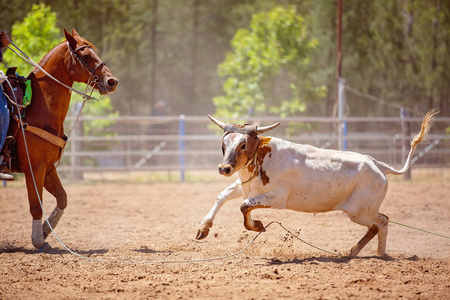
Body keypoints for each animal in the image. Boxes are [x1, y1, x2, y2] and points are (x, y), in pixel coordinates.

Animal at [6, 29, 118, 252]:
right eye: (85, 55)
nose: (112, 81)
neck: (36, 108)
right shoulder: (34, 167)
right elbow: (36, 205)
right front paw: (38, 241)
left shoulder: (48, 167)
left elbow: (63, 198)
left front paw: (45, 231)